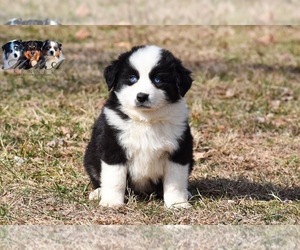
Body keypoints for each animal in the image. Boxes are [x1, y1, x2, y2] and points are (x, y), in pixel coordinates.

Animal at [84, 45, 195, 209]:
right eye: (132, 78)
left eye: (158, 80)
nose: (142, 96)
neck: (145, 120)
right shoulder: (113, 147)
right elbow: (114, 179)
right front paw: (111, 202)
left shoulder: (179, 150)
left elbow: (175, 182)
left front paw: (177, 204)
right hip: (90, 158)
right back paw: (98, 192)